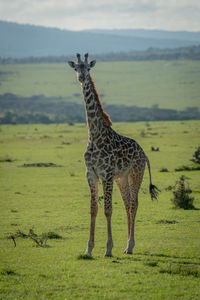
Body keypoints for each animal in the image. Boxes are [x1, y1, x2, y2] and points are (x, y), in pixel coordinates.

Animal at [68, 53, 159, 255]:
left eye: (88, 68)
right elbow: (93, 209)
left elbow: (108, 209)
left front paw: (108, 249)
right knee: (127, 204)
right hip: (122, 178)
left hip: (135, 173)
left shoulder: (107, 174)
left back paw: (130, 245)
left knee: (134, 204)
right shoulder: (91, 173)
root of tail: (144, 154)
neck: (94, 135)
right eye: (76, 68)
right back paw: (126, 245)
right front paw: (88, 249)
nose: (81, 77)